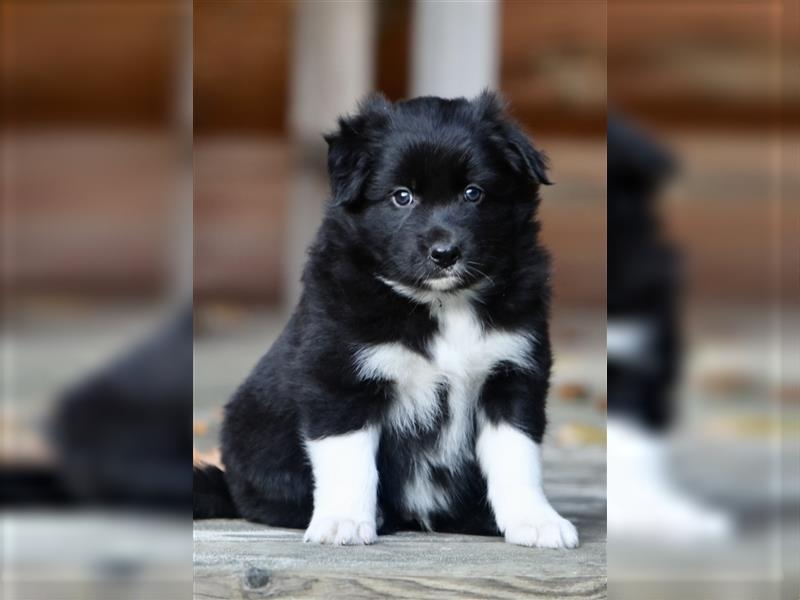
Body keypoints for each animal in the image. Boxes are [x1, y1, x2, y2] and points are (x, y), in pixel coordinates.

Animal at [197, 92, 580, 548]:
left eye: (473, 193)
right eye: (401, 196)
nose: (445, 254)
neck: (441, 305)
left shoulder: (513, 373)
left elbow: (517, 455)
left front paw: (535, 521)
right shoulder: (340, 378)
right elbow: (349, 458)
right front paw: (343, 521)